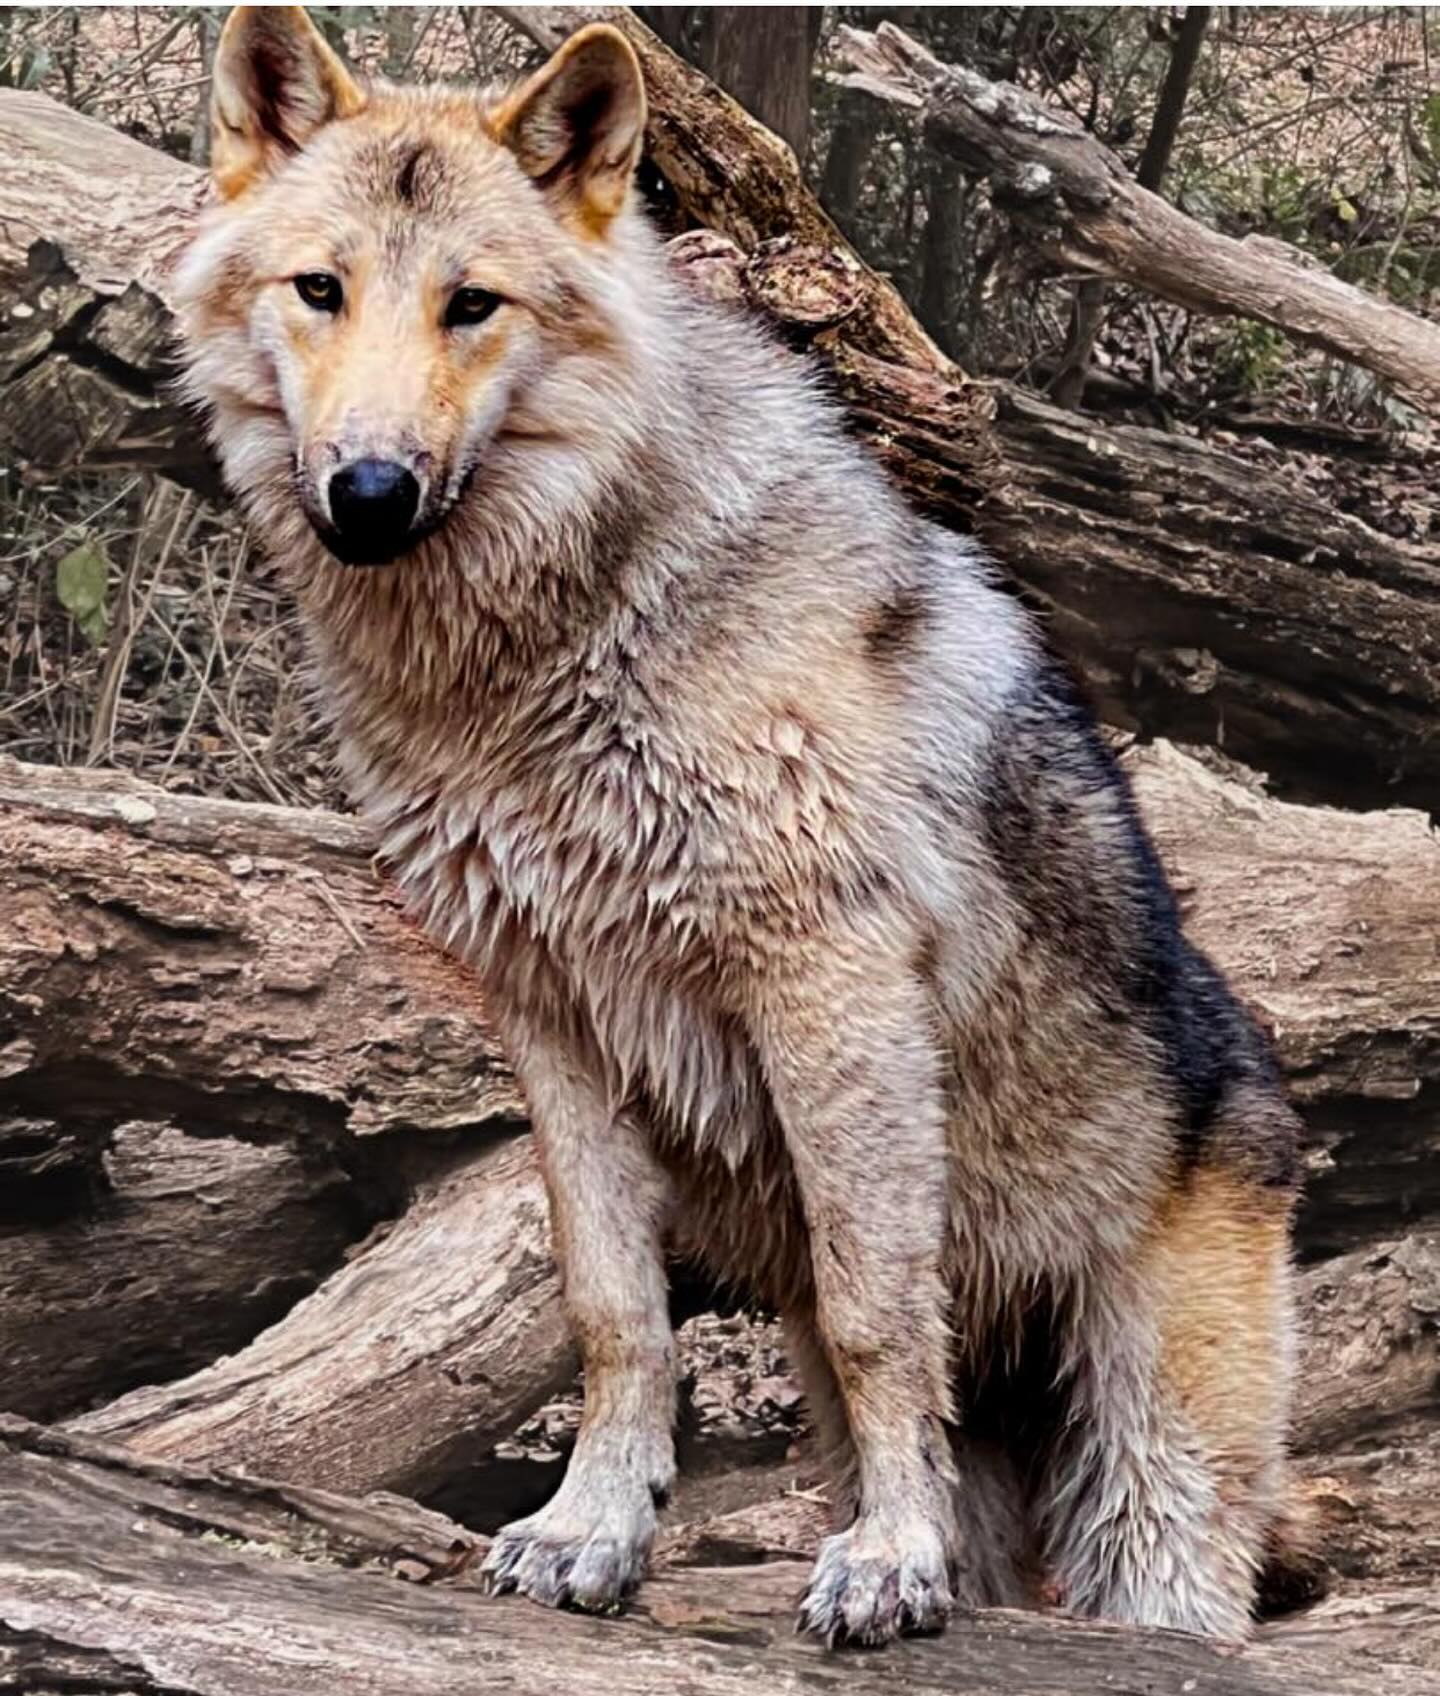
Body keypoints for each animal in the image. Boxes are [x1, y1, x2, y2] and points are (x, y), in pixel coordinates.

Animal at [176, 5, 1304, 1647]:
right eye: (320, 289)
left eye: (472, 306)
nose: (370, 492)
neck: (564, 640)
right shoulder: (550, 1009)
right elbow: (612, 1311)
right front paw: (591, 1531)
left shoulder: (826, 987)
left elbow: (877, 1306)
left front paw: (884, 1564)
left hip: (1149, 1518)